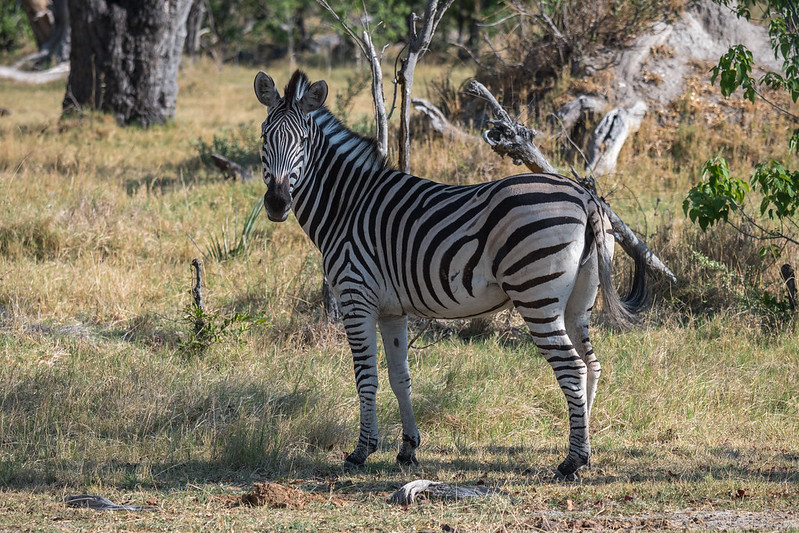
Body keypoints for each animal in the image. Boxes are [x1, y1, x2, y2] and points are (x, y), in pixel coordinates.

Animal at [256, 69, 648, 478]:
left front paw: (361, 451)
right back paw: (585, 444)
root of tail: (585, 197)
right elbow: (400, 377)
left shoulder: (355, 296)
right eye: (265, 136)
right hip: (579, 299)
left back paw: (573, 460)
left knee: (571, 367)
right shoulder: (392, 311)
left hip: (536, 294)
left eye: (302, 142)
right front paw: (408, 449)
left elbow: (367, 377)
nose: (277, 203)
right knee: (591, 365)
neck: (347, 205)